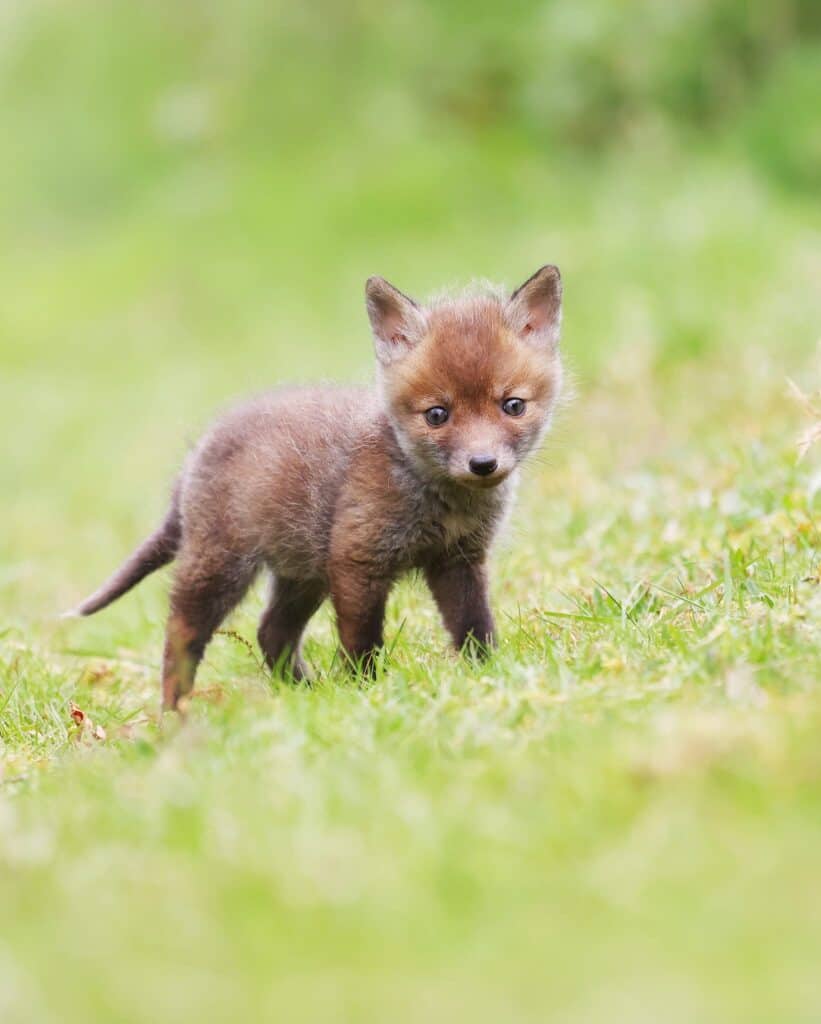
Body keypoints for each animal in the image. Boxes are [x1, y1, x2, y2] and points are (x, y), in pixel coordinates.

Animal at [70, 264, 564, 710]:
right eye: (437, 414)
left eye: (513, 405)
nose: (483, 464)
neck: (440, 503)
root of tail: (198, 452)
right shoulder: (357, 560)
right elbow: (362, 640)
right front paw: (367, 693)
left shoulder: (458, 560)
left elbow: (474, 625)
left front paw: (489, 676)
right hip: (221, 567)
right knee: (181, 637)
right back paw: (175, 715)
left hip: (302, 572)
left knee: (270, 631)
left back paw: (305, 693)